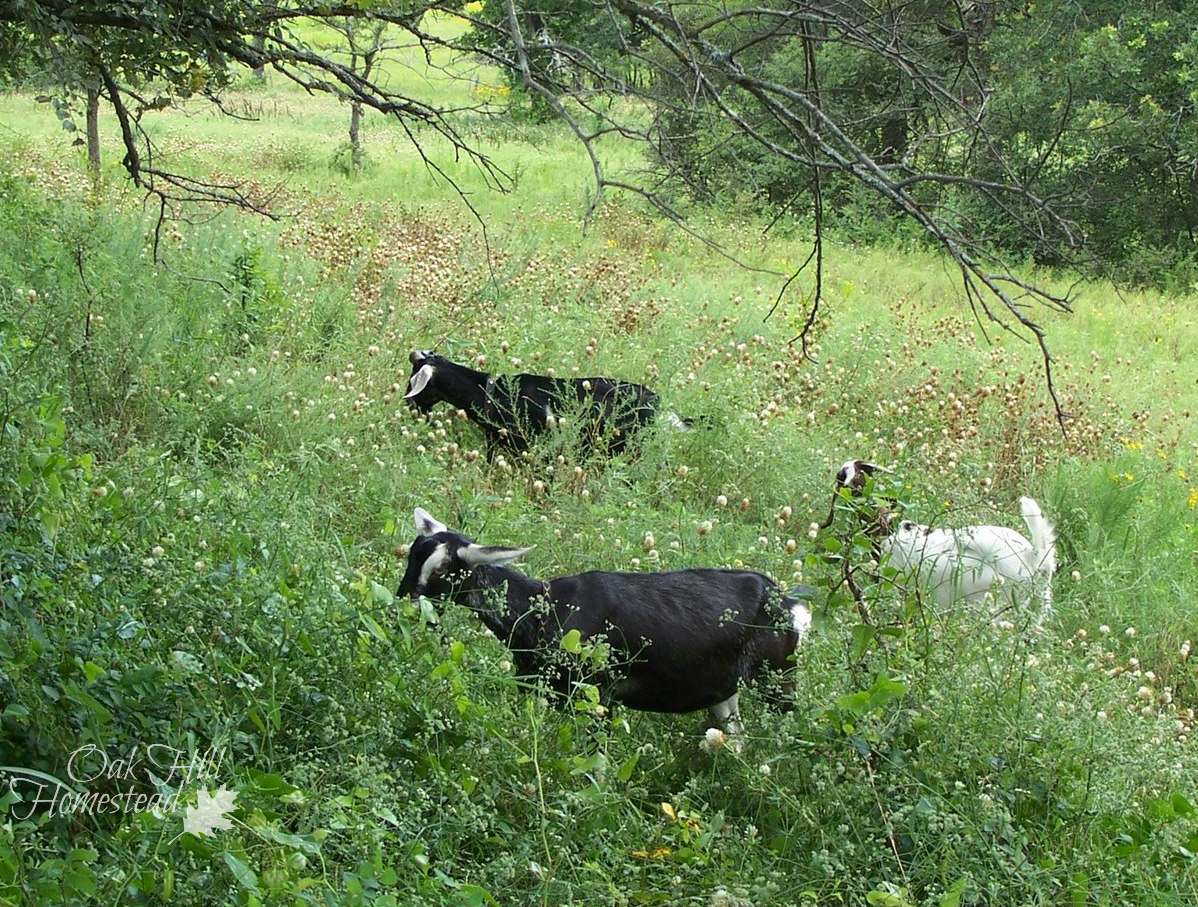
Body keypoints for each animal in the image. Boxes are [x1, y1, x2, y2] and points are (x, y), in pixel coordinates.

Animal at [396, 507, 814, 733]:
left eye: (443, 570)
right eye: (412, 554)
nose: (402, 606)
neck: (546, 608)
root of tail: (786, 602)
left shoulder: (598, 694)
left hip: (779, 680)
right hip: (727, 689)